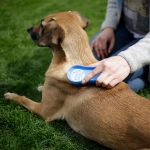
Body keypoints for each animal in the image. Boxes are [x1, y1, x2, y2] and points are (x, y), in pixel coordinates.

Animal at [4, 11, 150, 149]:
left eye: (42, 24)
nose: (28, 29)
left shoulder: (44, 111)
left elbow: (22, 98)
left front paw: (10, 95)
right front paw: (41, 87)